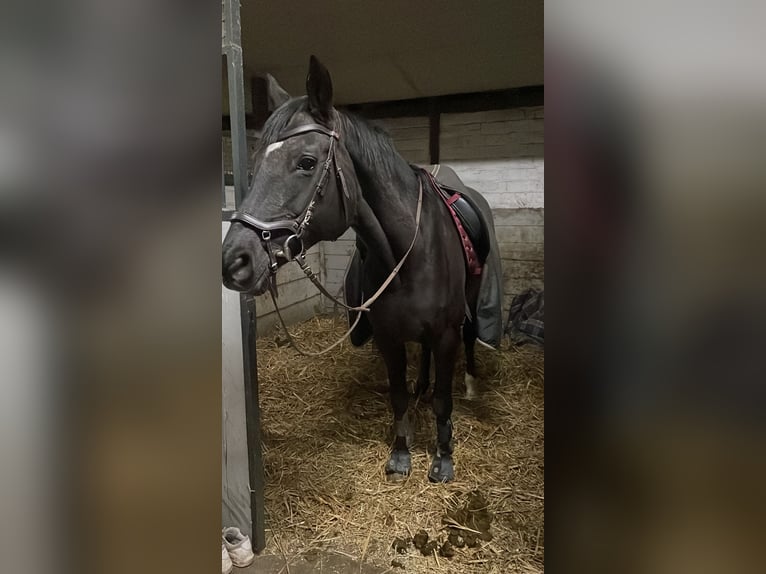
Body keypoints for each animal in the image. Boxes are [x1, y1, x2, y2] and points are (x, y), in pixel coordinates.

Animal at [222, 56, 488, 484]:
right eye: (257, 162)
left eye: (307, 162)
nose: (234, 261)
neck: (408, 256)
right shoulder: (388, 336)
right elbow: (397, 395)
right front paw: (401, 454)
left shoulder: (445, 333)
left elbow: (444, 400)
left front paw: (443, 458)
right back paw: (421, 385)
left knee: (469, 340)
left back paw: (471, 384)